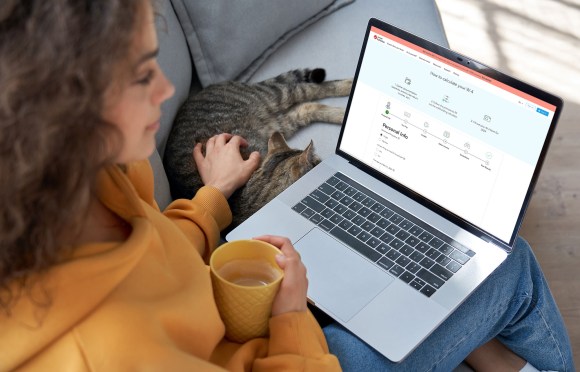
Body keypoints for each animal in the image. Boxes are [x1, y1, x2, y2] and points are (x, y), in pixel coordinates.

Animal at [164, 68, 354, 228]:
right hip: (281, 120)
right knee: (307, 105)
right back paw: (343, 113)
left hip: (275, 98)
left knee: (309, 89)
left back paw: (349, 88)